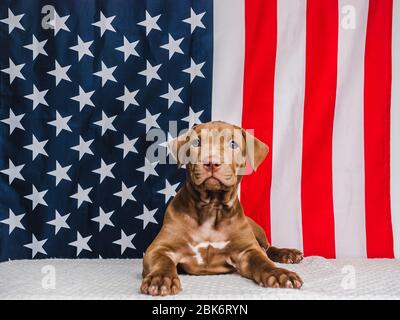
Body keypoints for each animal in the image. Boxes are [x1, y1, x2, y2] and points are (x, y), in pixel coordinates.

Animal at [141, 121, 304, 296]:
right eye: (196, 142)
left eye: (233, 144)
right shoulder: (158, 248)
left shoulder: (248, 251)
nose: (212, 163)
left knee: (267, 248)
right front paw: (161, 278)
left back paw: (288, 253)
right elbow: (162, 261)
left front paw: (279, 274)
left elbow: (263, 261)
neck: (212, 208)